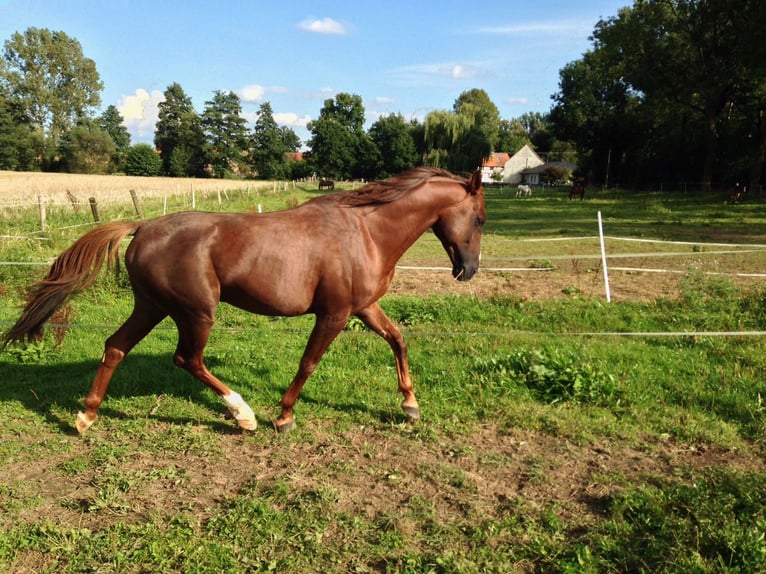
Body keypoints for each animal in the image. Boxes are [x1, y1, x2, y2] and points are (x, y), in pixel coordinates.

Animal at [1, 169, 486, 434]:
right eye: (480, 218)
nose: (468, 270)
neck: (364, 231)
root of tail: (142, 227)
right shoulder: (334, 313)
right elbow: (308, 362)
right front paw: (284, 416)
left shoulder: (363, 308)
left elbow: (398, 340)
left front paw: (410, 406)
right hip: (197, 312)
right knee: (187, 359)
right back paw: (243, 415)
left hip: (152, 307)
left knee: (116, 346)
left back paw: (86, 417)